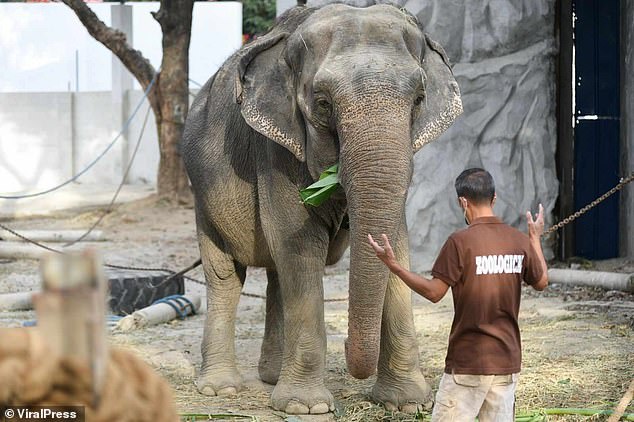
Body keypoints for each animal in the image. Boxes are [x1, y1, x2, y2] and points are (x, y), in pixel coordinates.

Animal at [180, 1, 462, 414]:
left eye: (418, 100)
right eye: (324, 103)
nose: (346, 347)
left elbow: (397, 243)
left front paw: (407, 404)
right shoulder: (275, 152)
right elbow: (300, 244)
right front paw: (305, 407)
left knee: (277, 274)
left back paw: (270, 376)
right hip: (203, 197)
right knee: (226, 275)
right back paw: (220, 389)